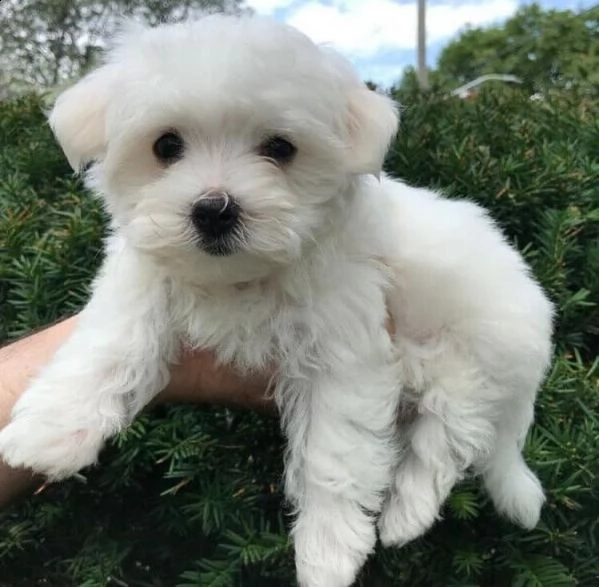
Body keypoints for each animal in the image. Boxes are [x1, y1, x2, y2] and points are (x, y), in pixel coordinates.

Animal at [0, 13, 552, 587]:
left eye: (281, 148)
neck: (239, 276)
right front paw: (50, 431)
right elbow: (110, 342)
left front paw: (328, 552)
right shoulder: (141, 280)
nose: (214, 210)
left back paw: (407, 514)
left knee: (448, 439)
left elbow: (336, 452)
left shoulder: (344, 353)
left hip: (470, 363)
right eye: (166, 146)